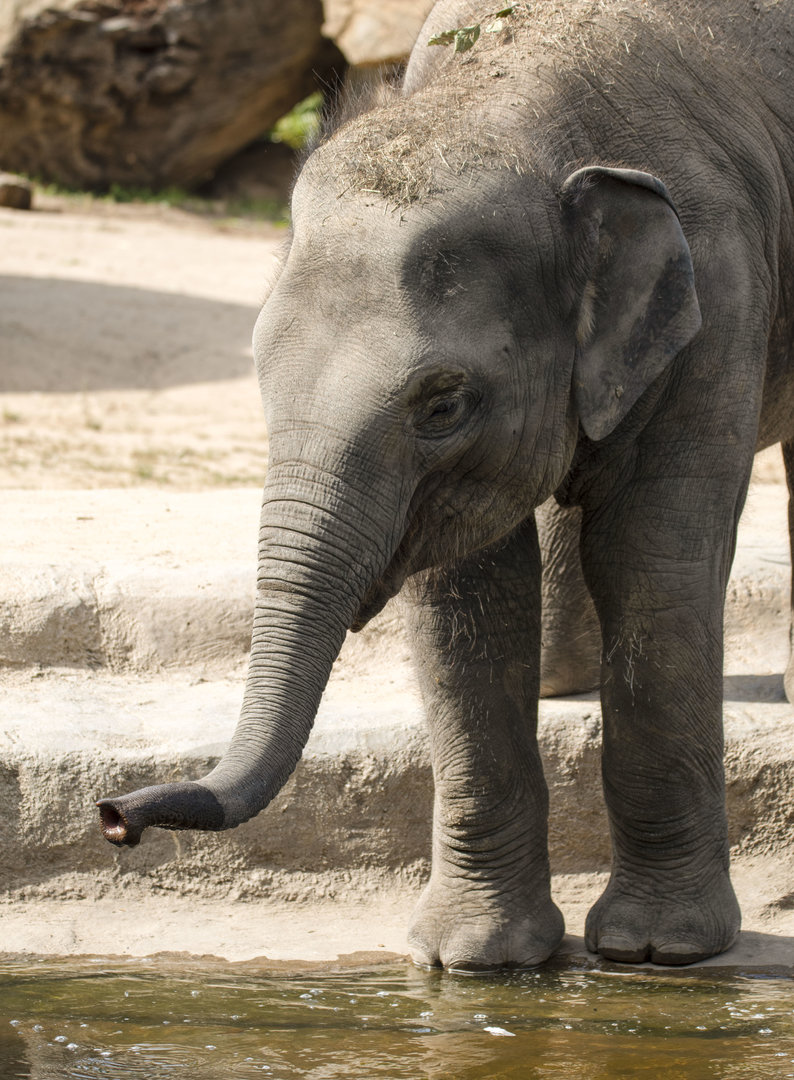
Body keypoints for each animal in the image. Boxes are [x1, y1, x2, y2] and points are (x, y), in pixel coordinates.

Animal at [97, 0, 794, 970]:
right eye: (258, 371)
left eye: (442, 404)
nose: (114, 816)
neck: (506, 99)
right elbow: (466, 596)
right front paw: (476, 961)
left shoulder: (720, 294)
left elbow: (653, 561)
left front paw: (657, 951)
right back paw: (562, 685)